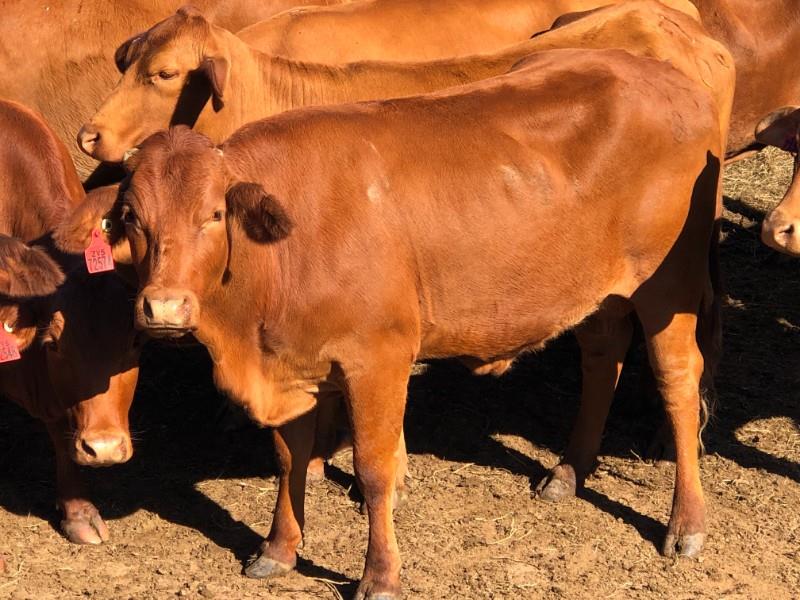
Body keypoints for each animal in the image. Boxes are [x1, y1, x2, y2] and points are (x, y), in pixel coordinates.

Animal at [56, 15, 732, 591]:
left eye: (213, 215)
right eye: (132, 218)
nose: (164, 309)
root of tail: (673, 78)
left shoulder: (377, 360)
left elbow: (376, 470)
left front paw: (380, 574)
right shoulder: (293, 363)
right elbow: (288, 458)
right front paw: (279, 549)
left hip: (667, 286)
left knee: (678, 380)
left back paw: (686, 525)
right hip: (598, 291)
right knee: (601, 356)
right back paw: (568, 471)